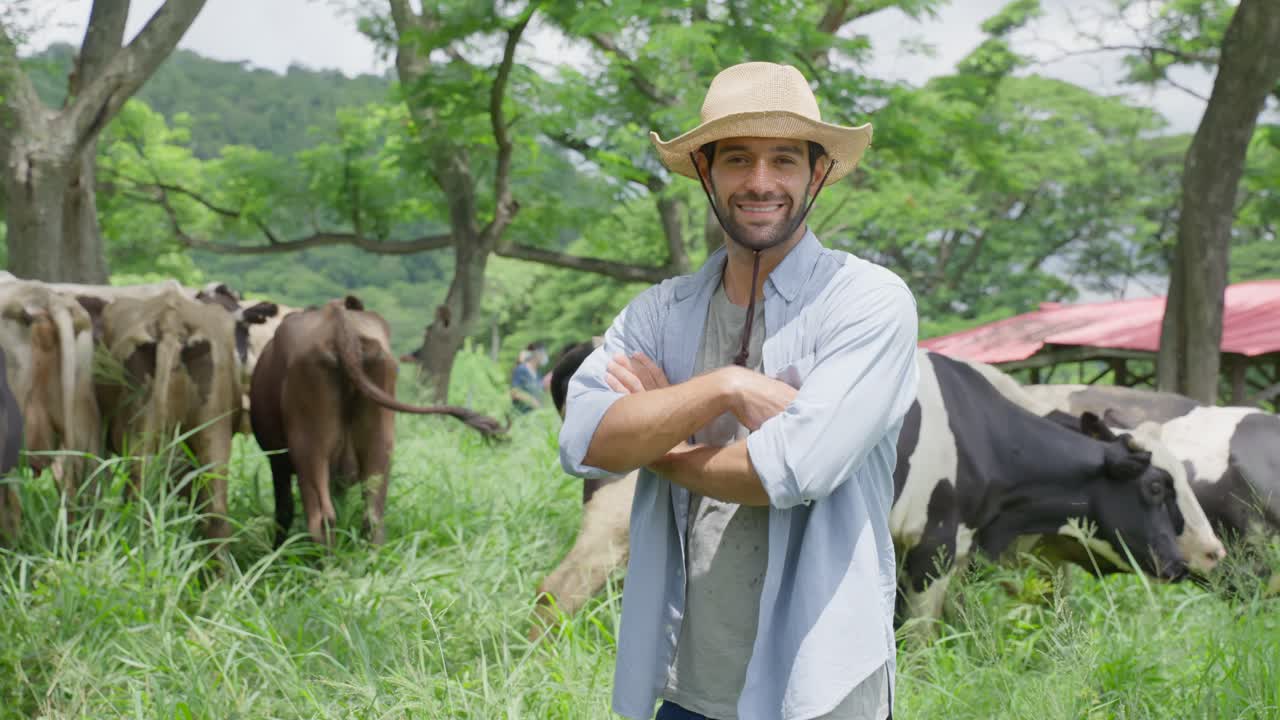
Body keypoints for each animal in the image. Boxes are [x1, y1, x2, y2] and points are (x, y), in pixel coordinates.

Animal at [250, 296, 505, 547]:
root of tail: (338, 319)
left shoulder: (276, 459)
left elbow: (284, 510)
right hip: (380, 440)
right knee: (372, 517)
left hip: (310, 447)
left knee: (321, 519)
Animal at [529, 346, 1215, 639]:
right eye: (1158, 486)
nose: (1213, 554)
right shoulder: (937, 541)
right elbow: (919, 638)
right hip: (616, 511)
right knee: (558, 591)